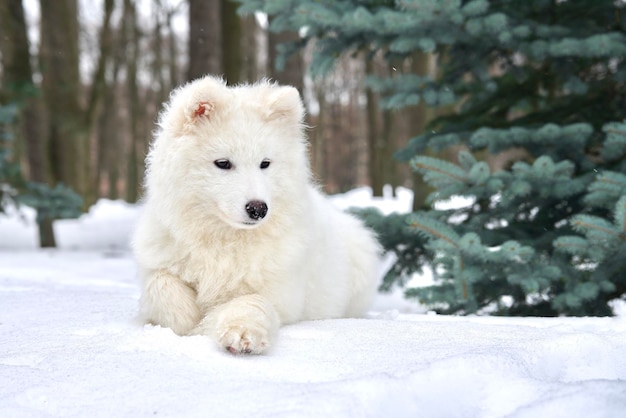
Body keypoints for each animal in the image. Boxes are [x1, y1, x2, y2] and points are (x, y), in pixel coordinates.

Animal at [132, 74, 378, 352]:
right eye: (223, 163)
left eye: (265, 163)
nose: (258, 208)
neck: (223, 240)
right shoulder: (156, 265)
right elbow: (161, 285)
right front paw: (188, 319)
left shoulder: (278, 293)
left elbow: (249, 303)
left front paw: (238, 333)